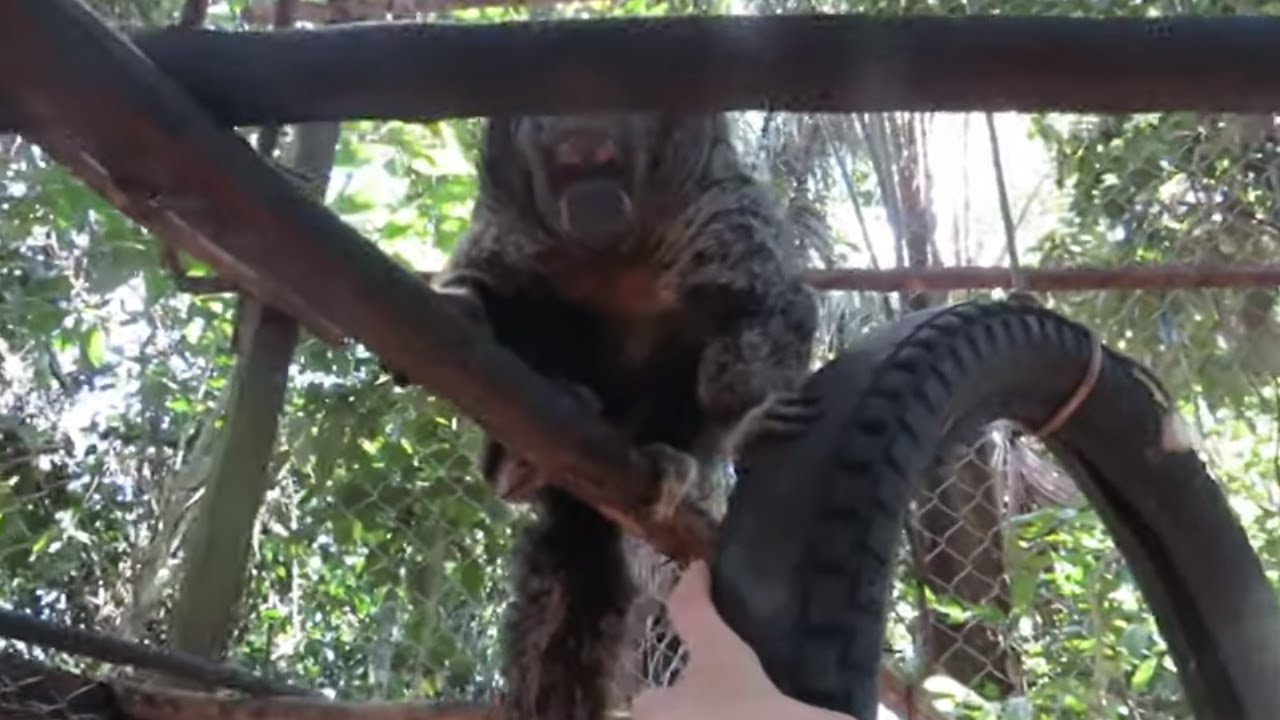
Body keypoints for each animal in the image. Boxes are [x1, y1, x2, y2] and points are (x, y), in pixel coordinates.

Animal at [408, 112, 819, 720]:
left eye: (605, 156)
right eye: (565, 159)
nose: (589, 181)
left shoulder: (715, 202)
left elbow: (761, 306)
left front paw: (750, 416)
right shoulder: (509, 215)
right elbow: (493, 283)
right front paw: (465, 303)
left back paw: (664, 455)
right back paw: (521, 457)